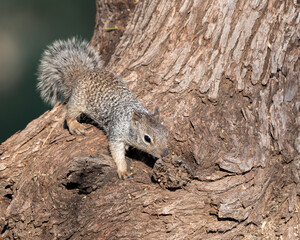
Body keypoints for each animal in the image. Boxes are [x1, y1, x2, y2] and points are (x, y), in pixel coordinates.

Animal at [37, 37, 169, 179]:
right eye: (147, 138)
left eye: (166, 133)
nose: (164, 154)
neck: (129, 121)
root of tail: (81, 74)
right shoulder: (116, 132)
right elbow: (116, 152)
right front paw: (123, 170)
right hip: (78, 102)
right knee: (69, 115)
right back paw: (75, 126)